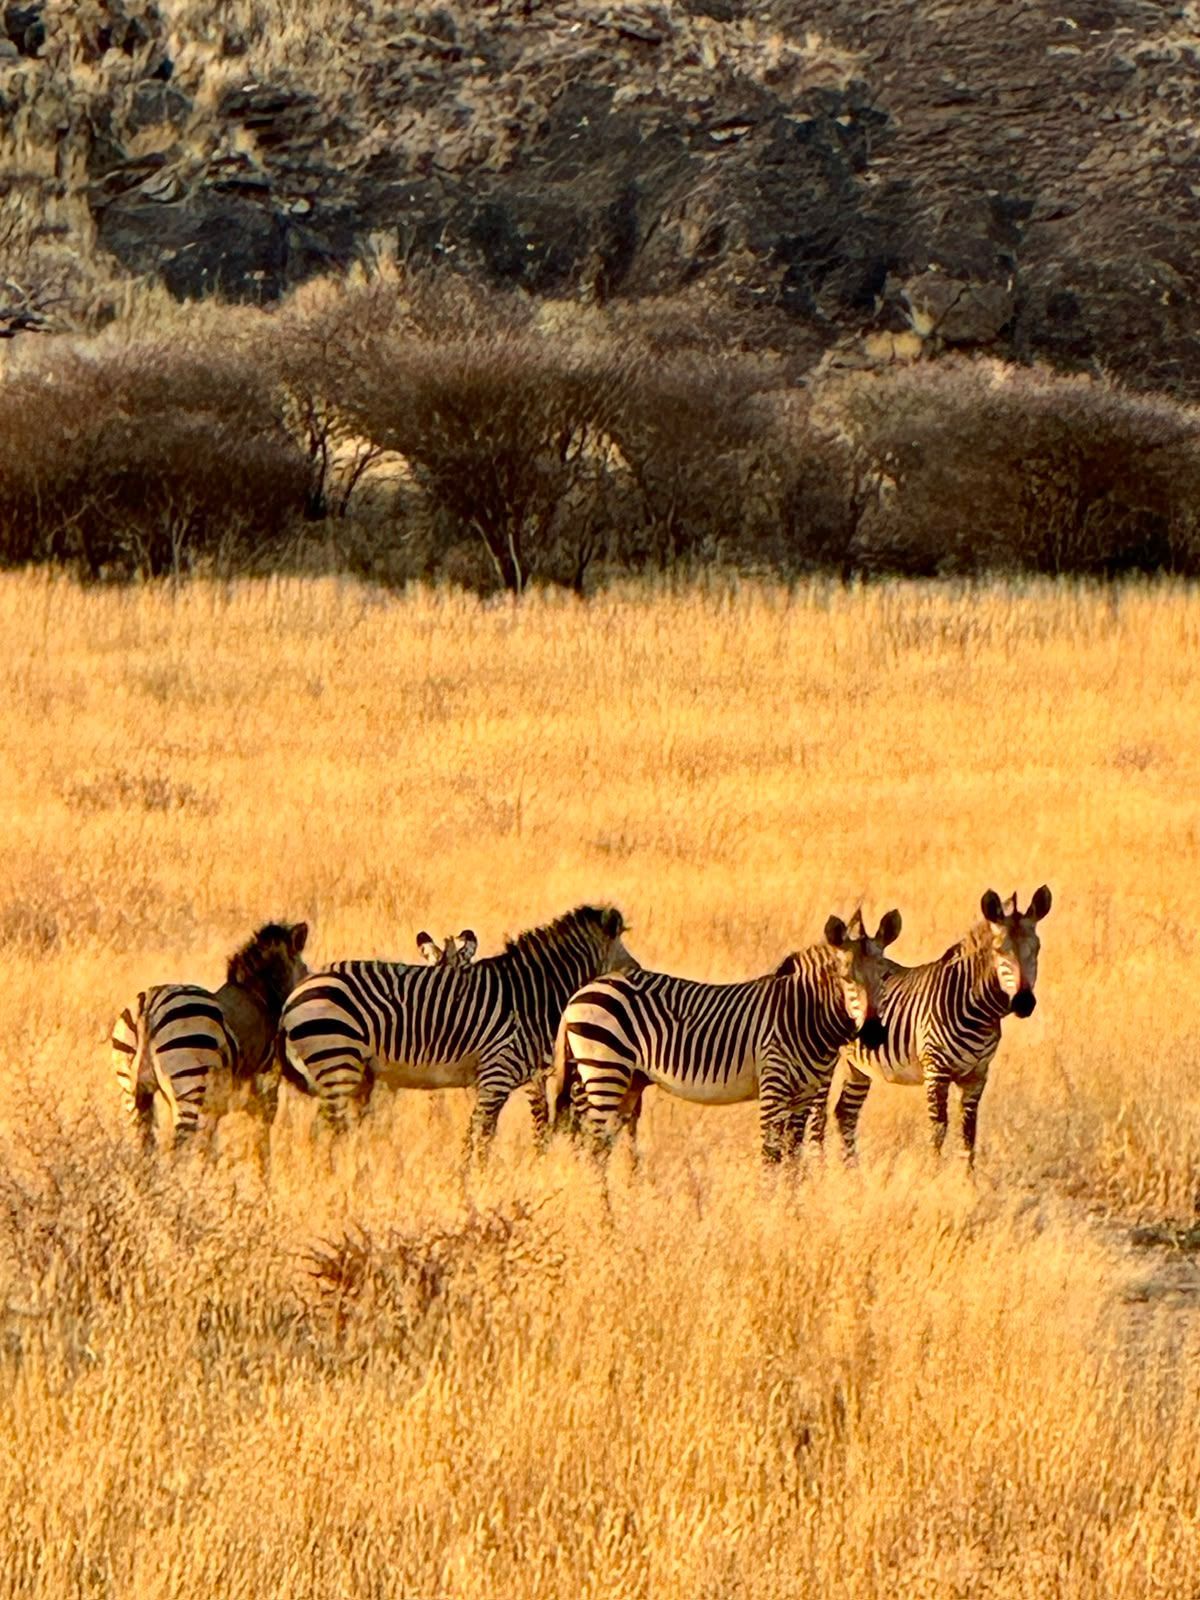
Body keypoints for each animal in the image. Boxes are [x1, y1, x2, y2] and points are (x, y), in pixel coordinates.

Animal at [111, 921, 310, 1161]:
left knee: (142, 1147)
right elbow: (261, 1142)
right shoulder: (265, 1086)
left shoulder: (218, 1104)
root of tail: (150, 1007)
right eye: (306, 970)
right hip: (187, 1086)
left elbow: (211, 1146)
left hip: (132, 1093)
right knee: (178, 1147)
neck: (261, 998)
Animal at [279, 904, 634, 1154]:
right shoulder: (496, 1074)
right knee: (324, 1129)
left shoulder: (503, 1080)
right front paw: (474, 1185)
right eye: (629, 964)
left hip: (350, 1069)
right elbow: (480, 1138)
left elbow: (486, 1134)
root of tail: (294, 996)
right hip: (337, 1059)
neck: (531, 994)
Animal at [554, 910, 901, 1164]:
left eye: (885, 975)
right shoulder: (774, 1084)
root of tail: (579, 995)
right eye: (845, 978)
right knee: (594, 1148)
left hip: (627, 1081)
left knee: (599, 1145)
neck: (804, 1013)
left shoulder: (805, 1094)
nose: (872, 1033)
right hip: (605, 1069)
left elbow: (792, 1159)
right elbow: (771, 1155)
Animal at [811, 887, 1052, 1165]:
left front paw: (967, 1177)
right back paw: (819, 1170)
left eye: (1037, 948)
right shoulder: (936, 1070)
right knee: (818, 1118)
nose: (1024, 1003)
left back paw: (852, 1170)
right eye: (999, 951)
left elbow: (969, 1134)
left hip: (858, 1065)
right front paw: (934, 1172)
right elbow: (938, 1130)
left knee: (845, 1113)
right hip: (823, 1059)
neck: (977, 1009)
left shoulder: (977, 1076)